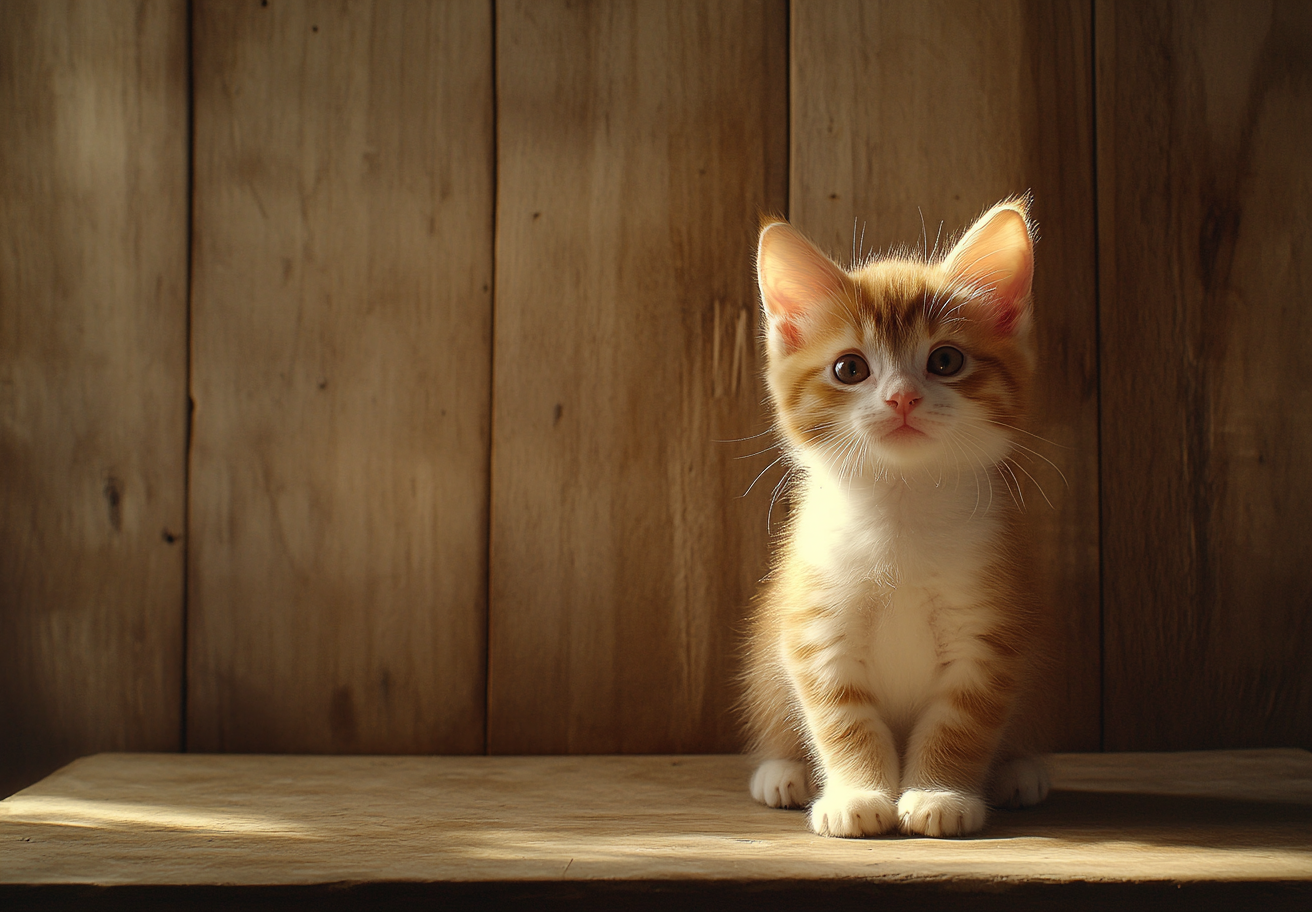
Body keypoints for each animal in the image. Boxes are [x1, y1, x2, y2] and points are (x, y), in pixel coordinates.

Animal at [745, 196, 1049, 839]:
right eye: (850, 369)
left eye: (946, 360)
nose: (901, 397)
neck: (901, 510)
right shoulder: (817, 621)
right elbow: (842, 719)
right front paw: (856, 795)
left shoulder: (989, 626)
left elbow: (962, 720)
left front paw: (939, 794)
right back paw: (782, 770)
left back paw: (1019, 769)